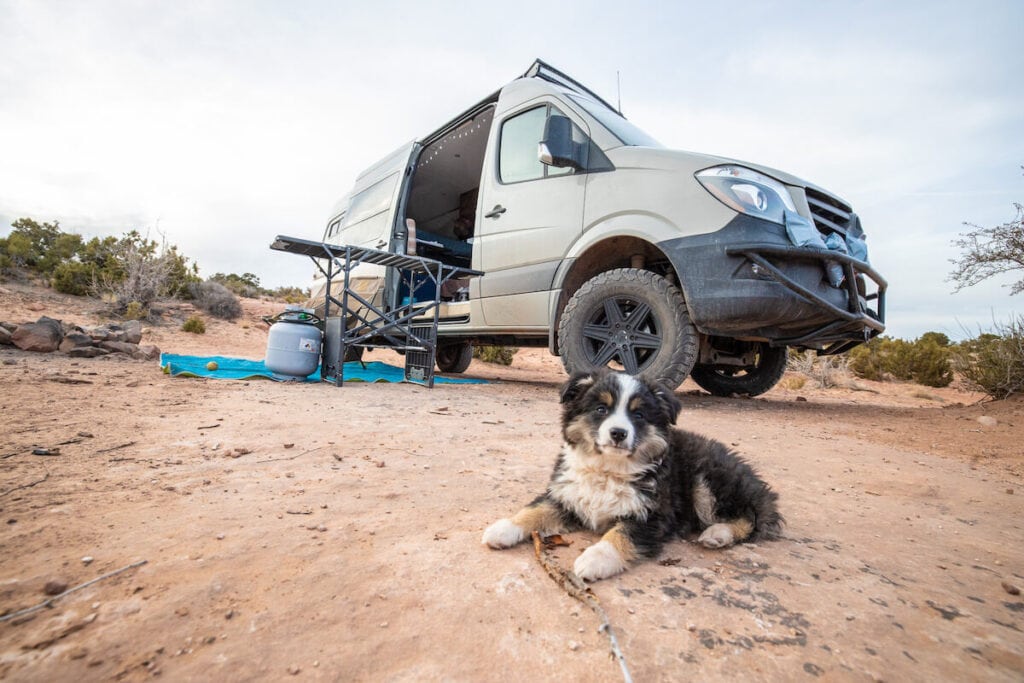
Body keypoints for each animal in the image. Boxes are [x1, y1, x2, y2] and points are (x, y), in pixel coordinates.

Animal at [479, 368, 782, 581]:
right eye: (601, 409)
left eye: (638, 415)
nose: (618, 433)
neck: (608, 469)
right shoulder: (565, 495)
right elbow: (535, 510)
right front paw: (504, 528)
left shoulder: (652, 515)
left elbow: (621, 534)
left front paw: (596, 559)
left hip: (708, 479)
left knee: (751, 516)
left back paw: (718, 533)